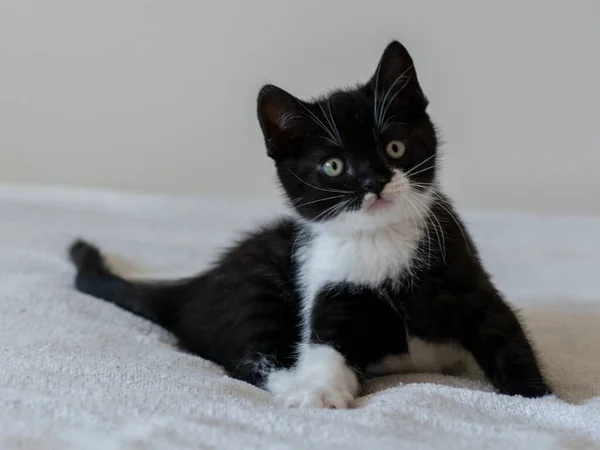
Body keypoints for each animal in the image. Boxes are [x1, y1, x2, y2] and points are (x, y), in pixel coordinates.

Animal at [68, 41, 552, 408]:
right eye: (333, 166)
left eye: (394, 147)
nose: (374, 182)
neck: (379, 241)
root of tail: (195, 287)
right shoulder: (328, 285)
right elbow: (322, 347)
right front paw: (319, 390)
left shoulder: (465, 276)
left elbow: (505, 335)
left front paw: (542, 400)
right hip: (255, 286)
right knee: (249, 357)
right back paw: (293, 385)